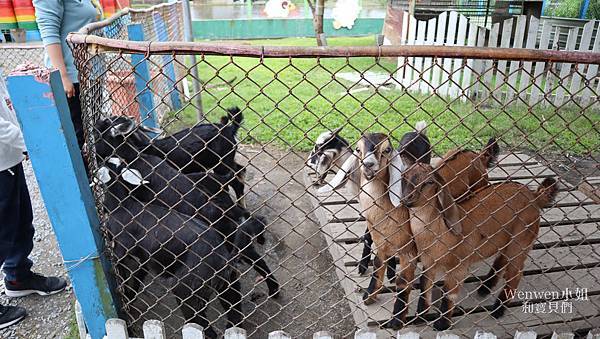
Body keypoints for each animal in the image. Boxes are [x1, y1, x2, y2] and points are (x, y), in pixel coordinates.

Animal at [398, 163, 556, 330]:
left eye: (429, 182)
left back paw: (498, 310)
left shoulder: (458, 267)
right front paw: (420, 317)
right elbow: (424, 288)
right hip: (505, 239)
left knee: (515, 273)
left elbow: (449, 294)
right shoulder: (429, 263)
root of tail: (534, 197)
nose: (407, 199)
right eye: (404, 176)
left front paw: (442, 325)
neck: (440, 232)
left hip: (521, 240)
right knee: (501, 260)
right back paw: (485, 288)